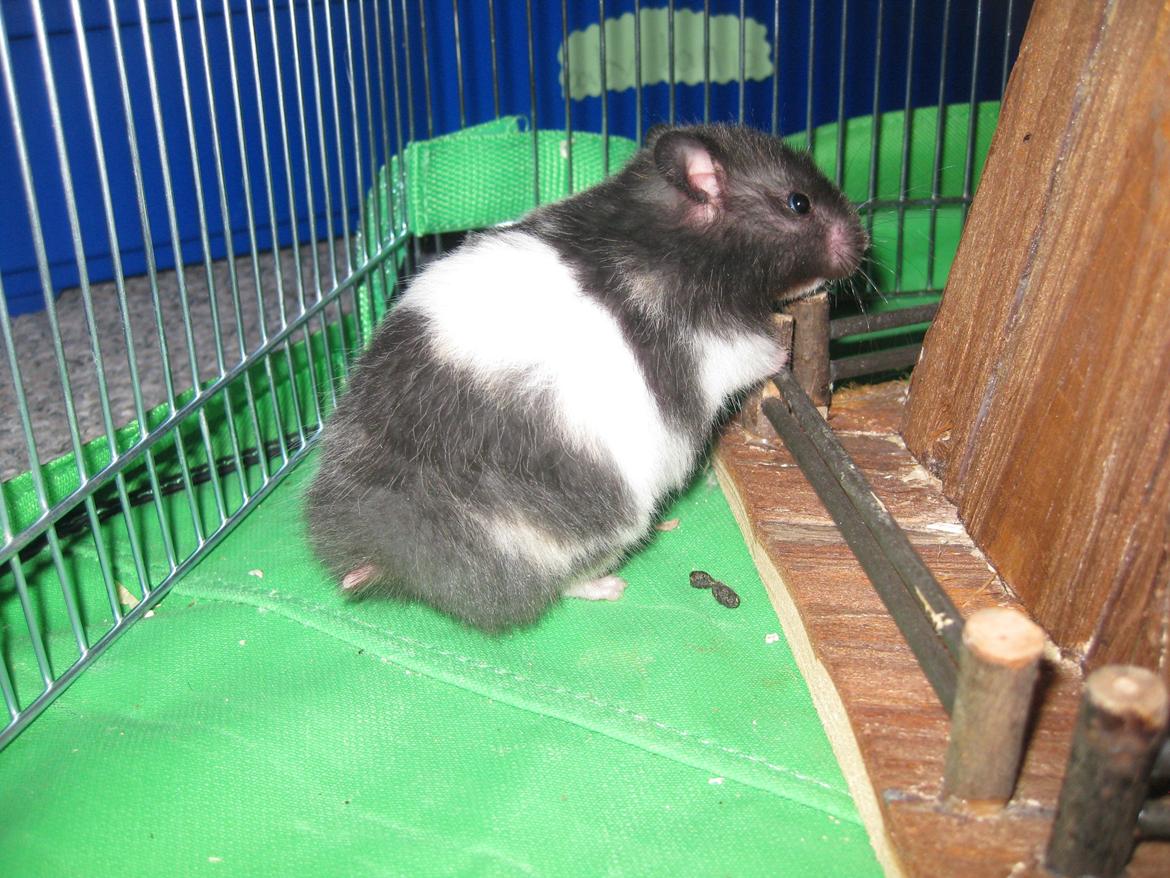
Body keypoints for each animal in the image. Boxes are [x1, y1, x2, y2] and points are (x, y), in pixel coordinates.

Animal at [305, 124, 866, 631]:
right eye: (798, 203)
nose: (863, 243)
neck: (670, 232)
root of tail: (390, 552)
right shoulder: (716, 345)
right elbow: (758, 355)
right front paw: (783, 353)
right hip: (604, 526)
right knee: (566, 582)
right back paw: (612, 584)